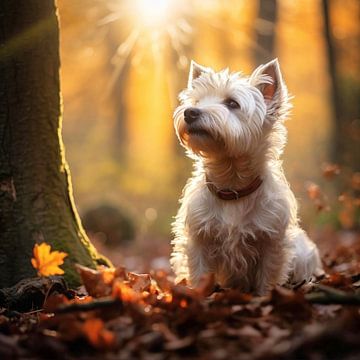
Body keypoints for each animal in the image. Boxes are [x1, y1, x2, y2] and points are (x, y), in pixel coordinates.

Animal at [170, 59, 322, 296]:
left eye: (232, 103)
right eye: (197, 101)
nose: (190, 112)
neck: (232, 186)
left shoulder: (271, 240)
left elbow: (268, 277)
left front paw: (265, 297)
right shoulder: (199, 238)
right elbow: (200, 272)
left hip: (304, 254)